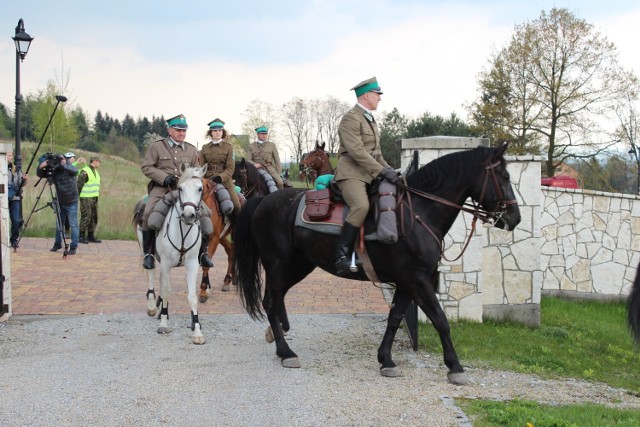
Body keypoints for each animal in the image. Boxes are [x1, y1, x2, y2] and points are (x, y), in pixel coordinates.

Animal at [134, 166, 209, 346]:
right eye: (180, 188)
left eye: (200, 188)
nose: (188, 215)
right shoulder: (167, 263)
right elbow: (167, 291)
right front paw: (163, 324)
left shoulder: (192, 264)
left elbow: (192, 296)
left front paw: (196, 329)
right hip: (147, 251)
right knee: (152, 274)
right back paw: (153, 306)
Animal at [232, 144, 524, 384]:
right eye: (504, 177)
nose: (514, 218)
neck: (417, 212)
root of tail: (264, 200)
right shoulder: (418, 280)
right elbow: (440, 319)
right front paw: (455, 367)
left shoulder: (408, 282)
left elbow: (394, 318)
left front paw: (386, 359)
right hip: (278, 265)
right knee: (270, 302)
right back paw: (286, 352)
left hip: (298, 266)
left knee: (277, 298)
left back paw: (277, 336)